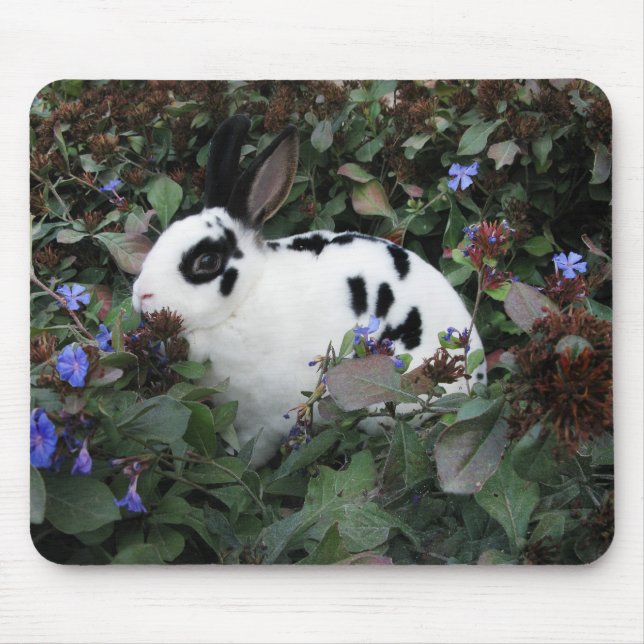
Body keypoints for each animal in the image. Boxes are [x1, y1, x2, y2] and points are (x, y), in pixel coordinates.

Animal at [132, 115, 486, 467]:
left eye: (207, 261)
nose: (141, 295)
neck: (243, 300)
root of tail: (477, 375)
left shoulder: (260, 422)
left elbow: (253, 450)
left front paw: (239, 464)